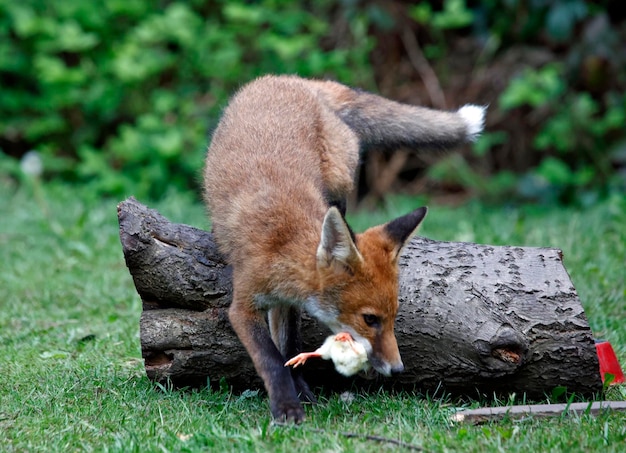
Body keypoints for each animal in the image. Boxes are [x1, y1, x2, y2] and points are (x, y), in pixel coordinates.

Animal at [202, 74, 486, 420]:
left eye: (394, 316)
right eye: (370, 319)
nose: (397, 370)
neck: (284, 242)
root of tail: (293, 80)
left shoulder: (287, 305)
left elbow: (289, 347)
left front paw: (301, 391)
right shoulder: (246, 303)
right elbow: (270, 358)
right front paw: (286, 406)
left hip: (340, 178)